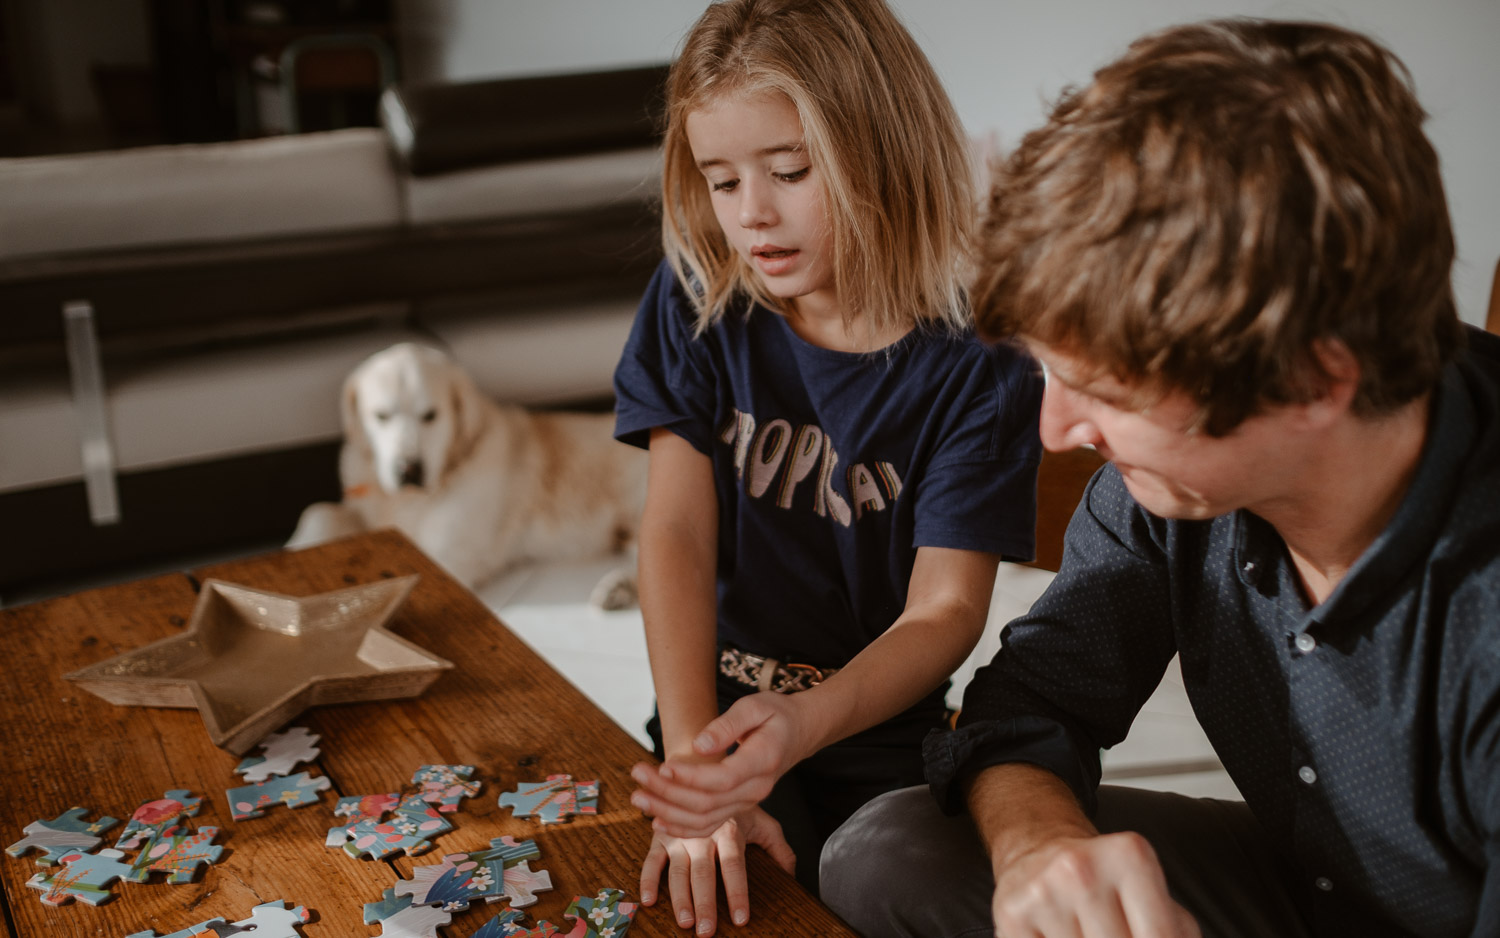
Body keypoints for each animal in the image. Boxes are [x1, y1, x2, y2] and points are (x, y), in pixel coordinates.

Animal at [289, 343, 648, 606]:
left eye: (430, 415)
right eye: (381, 416)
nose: (409, 470)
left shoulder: (448, 555)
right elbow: (318, 511)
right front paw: (295, 549)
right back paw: (618, 587)